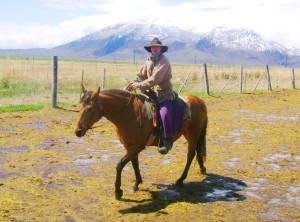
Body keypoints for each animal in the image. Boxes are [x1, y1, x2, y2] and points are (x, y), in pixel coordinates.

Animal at [74, 85, 207, 199]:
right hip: (192, 135)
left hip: (192, 135)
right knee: (198, 150)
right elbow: (135, 163)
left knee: (190, 155)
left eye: (90, 109)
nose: (78, 131)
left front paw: (118, 191)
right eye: (79, 108)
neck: (128, 113)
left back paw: (180, 179)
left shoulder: (137, 146)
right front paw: (137, 183)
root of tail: (200, 101)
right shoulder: (130, 146)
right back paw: (202, 169)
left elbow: (120, 165)